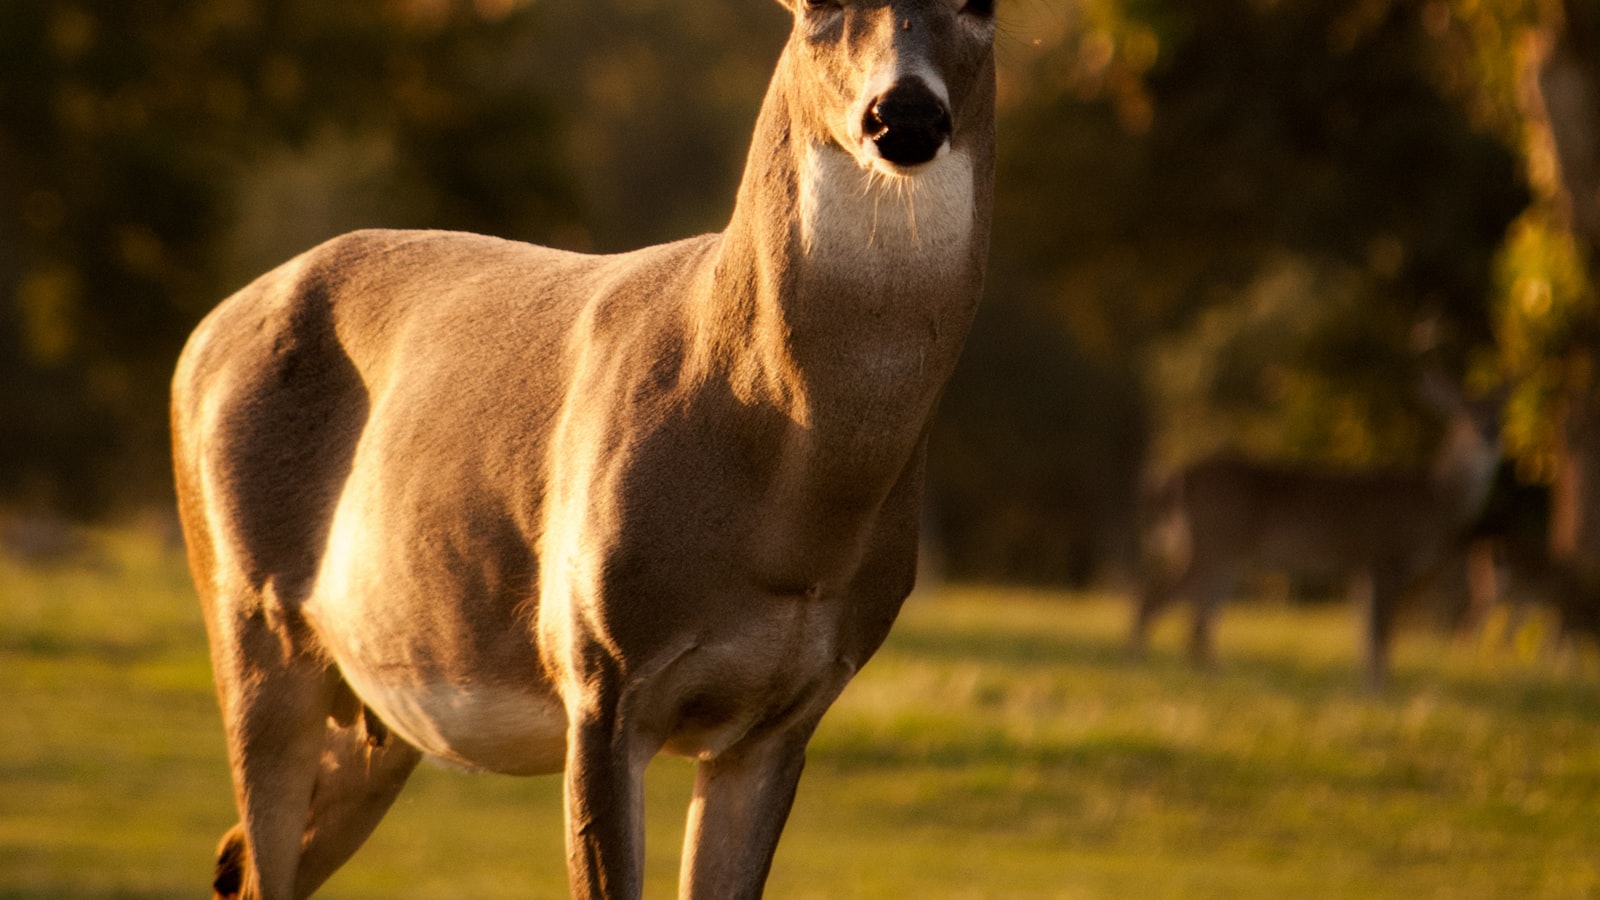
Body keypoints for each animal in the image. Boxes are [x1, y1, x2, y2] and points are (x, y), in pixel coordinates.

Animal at [168, 2, 996, 898]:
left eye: (981, 6)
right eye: (815, 9)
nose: (904, 114)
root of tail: (200, 339)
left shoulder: (786, 716)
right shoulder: (599, 672)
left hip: (375, 707)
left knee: (241, 862)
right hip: (249, 617)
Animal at [1129, 373, 1503, 687]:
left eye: (1499, 411)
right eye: (1464, 414)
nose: (1490, 434)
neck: (1435, 499)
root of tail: (1173, 479)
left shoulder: (1362, 567)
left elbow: (1365, 630)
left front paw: (1365, 685)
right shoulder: (1384, 556)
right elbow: (1380, 632)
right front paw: (1379, 688)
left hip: (1221, 554)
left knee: (1196, 616)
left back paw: (1211, 672)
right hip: (1213, 544)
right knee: (1157, 596)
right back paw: (1139, 662)